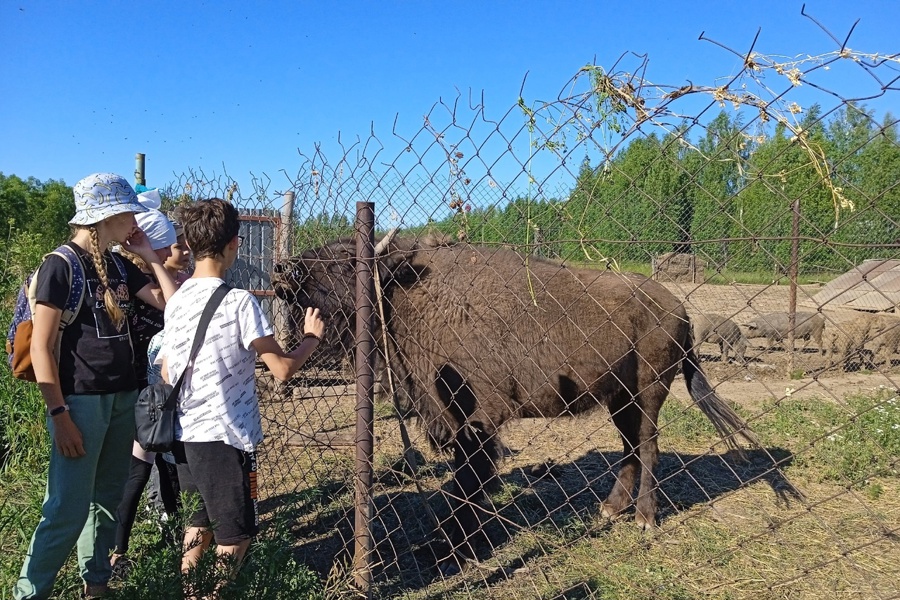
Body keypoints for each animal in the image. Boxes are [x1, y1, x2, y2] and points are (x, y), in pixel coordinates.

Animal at [274, 232, 760, 568]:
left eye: (344, 260)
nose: (284, 271)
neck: (403, 290)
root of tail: (680, 309)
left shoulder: (475, 421)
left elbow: (469, 481)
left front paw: (457, 545)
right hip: (619, 400)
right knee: (630, 450)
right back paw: (609, 510)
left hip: (647, 395)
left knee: (648, 448)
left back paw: (643, 518)